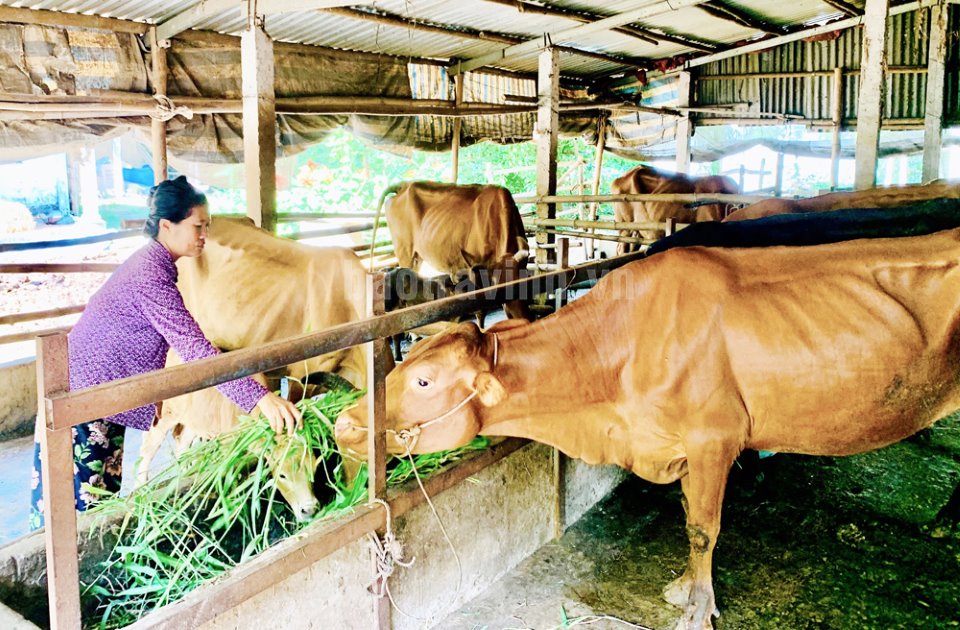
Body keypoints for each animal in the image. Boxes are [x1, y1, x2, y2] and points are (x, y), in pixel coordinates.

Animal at [334, 227, 960, 630]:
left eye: (424, 381)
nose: (344, 423)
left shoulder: (714, 439)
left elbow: (702, 528)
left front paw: (697, 610)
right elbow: (687, 517)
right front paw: (686, 588)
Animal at [373, 181, 531, 321]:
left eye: (526, 280)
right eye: (500, 289)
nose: (523, 318)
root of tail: (403, 186)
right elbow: (480, 309)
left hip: (417, 258)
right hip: (404, 253)